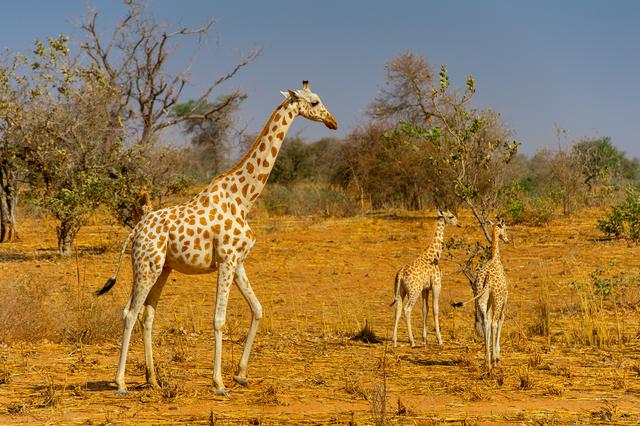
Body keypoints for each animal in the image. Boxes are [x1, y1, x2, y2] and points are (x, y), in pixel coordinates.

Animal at [97, 82, 338, 396]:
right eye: (315, 101)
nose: (333, 122)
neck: (244, 198)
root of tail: (135, 232)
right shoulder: (226, 260)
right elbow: (219, 320)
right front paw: (220, 383)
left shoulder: (238, 262)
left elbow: (258, 309)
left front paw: (241, 375)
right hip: (146, 266)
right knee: (129, 312)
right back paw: (121, 382)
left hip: (163, 268)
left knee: (147, 314)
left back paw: (153, 380)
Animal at [390, 209, 460, 346]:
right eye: (451, 216)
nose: (459, 224)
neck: (434, 255)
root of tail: (400, 274)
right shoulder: (436, 285)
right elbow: (435, 309)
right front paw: (439, 340)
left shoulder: (425, 289)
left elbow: (425, 309)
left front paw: (424, 339)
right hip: (414, 291)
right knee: (407, 310)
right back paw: (412, 341)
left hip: (401, 291)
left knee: (398, 310)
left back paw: (394, 341)